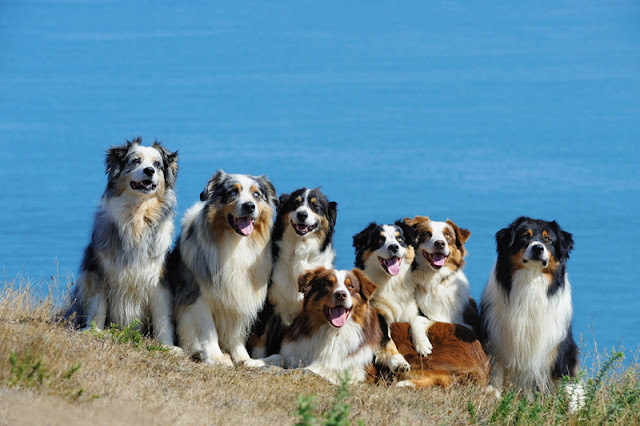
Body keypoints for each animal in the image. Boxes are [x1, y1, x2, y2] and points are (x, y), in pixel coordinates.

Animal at [64, 137, 179, 350]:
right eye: (135, 161)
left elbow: (162, 316)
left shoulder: (158, 277)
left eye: (157, 164)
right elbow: (99, 306)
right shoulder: (99, 270)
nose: (149, 170)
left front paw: (167, 346)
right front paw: (94, 331)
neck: (137, 215)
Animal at [170, 170, 278, 366]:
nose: (249, 206)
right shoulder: (198, 298)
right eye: (232, 192)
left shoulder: (239, 296)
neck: (235, 243)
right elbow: (207, 330)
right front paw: (216, 358)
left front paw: (243, 358)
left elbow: (236, 334)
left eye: (256, 194)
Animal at [352, 221, 432, 372]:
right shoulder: (376, 314)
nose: (394, 247)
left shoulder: (419, 311)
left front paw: (423, 345)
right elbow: (386, 340)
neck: (391, 282)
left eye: (399, 239)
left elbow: (417, 320)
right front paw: (397, 361)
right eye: (380, 240)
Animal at [480, 216, 580, 406]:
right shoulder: (496, 340)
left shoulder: (559, 345)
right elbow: (496, 373)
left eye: (548, 239)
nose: (538, 247)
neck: (531, 280)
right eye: (525, 236)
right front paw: (493, 395)